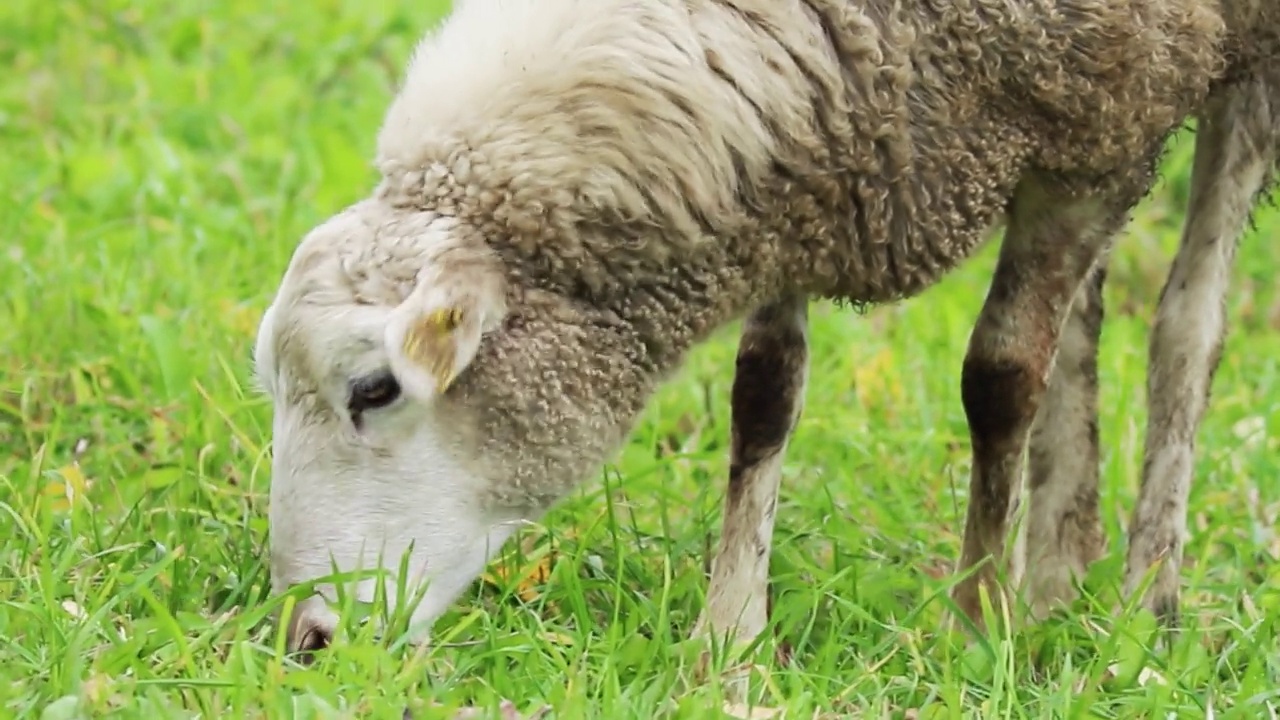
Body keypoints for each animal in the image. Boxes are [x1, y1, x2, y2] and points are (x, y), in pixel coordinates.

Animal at [252, 0, 1228, 653]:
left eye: (376, 390)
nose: (309, 641)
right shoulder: (802, 171)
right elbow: (763, 398)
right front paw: (729, 647)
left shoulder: (1102, 122)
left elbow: (999, 381)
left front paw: (974, 626)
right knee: (1089, 316)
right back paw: (1063, 576)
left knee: (1187, 322)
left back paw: (1147, 602)